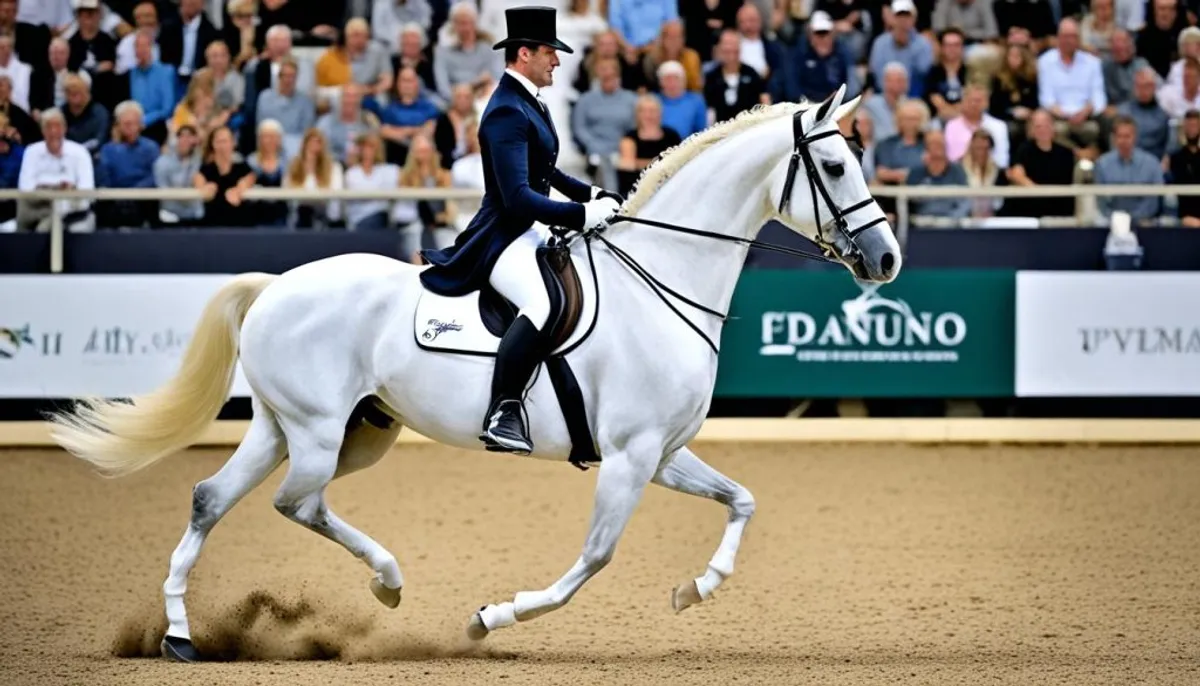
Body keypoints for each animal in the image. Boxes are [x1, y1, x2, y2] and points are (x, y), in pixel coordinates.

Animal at [49, 85, 902, 657]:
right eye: (833, 164)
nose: (887, 258)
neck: (659, 278)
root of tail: (275, 287)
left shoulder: (662, 452)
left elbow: (742, 500)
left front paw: (697, 589)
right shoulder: (628, 458)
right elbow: (594, 557)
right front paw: (491, 618)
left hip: (310, 430)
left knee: (210, 497)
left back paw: (181, 635)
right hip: (319, 434)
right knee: (298, 503)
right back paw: (388, 583)